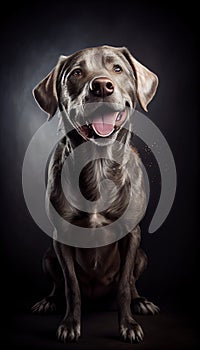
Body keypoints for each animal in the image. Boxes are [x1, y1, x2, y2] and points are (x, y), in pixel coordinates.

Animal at [31, 45, 159, 344]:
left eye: (117, 68)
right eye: (77, 73)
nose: (101, 86)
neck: (98, 163)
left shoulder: (131, 234)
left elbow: (124, 285)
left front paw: (128, 325)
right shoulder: (62, 236)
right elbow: (71, 286)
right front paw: (69, 324)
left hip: (142, 256)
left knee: (132, 283)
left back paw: (142, 302)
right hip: (48, 256)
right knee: (58, 284)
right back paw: (48, 301)